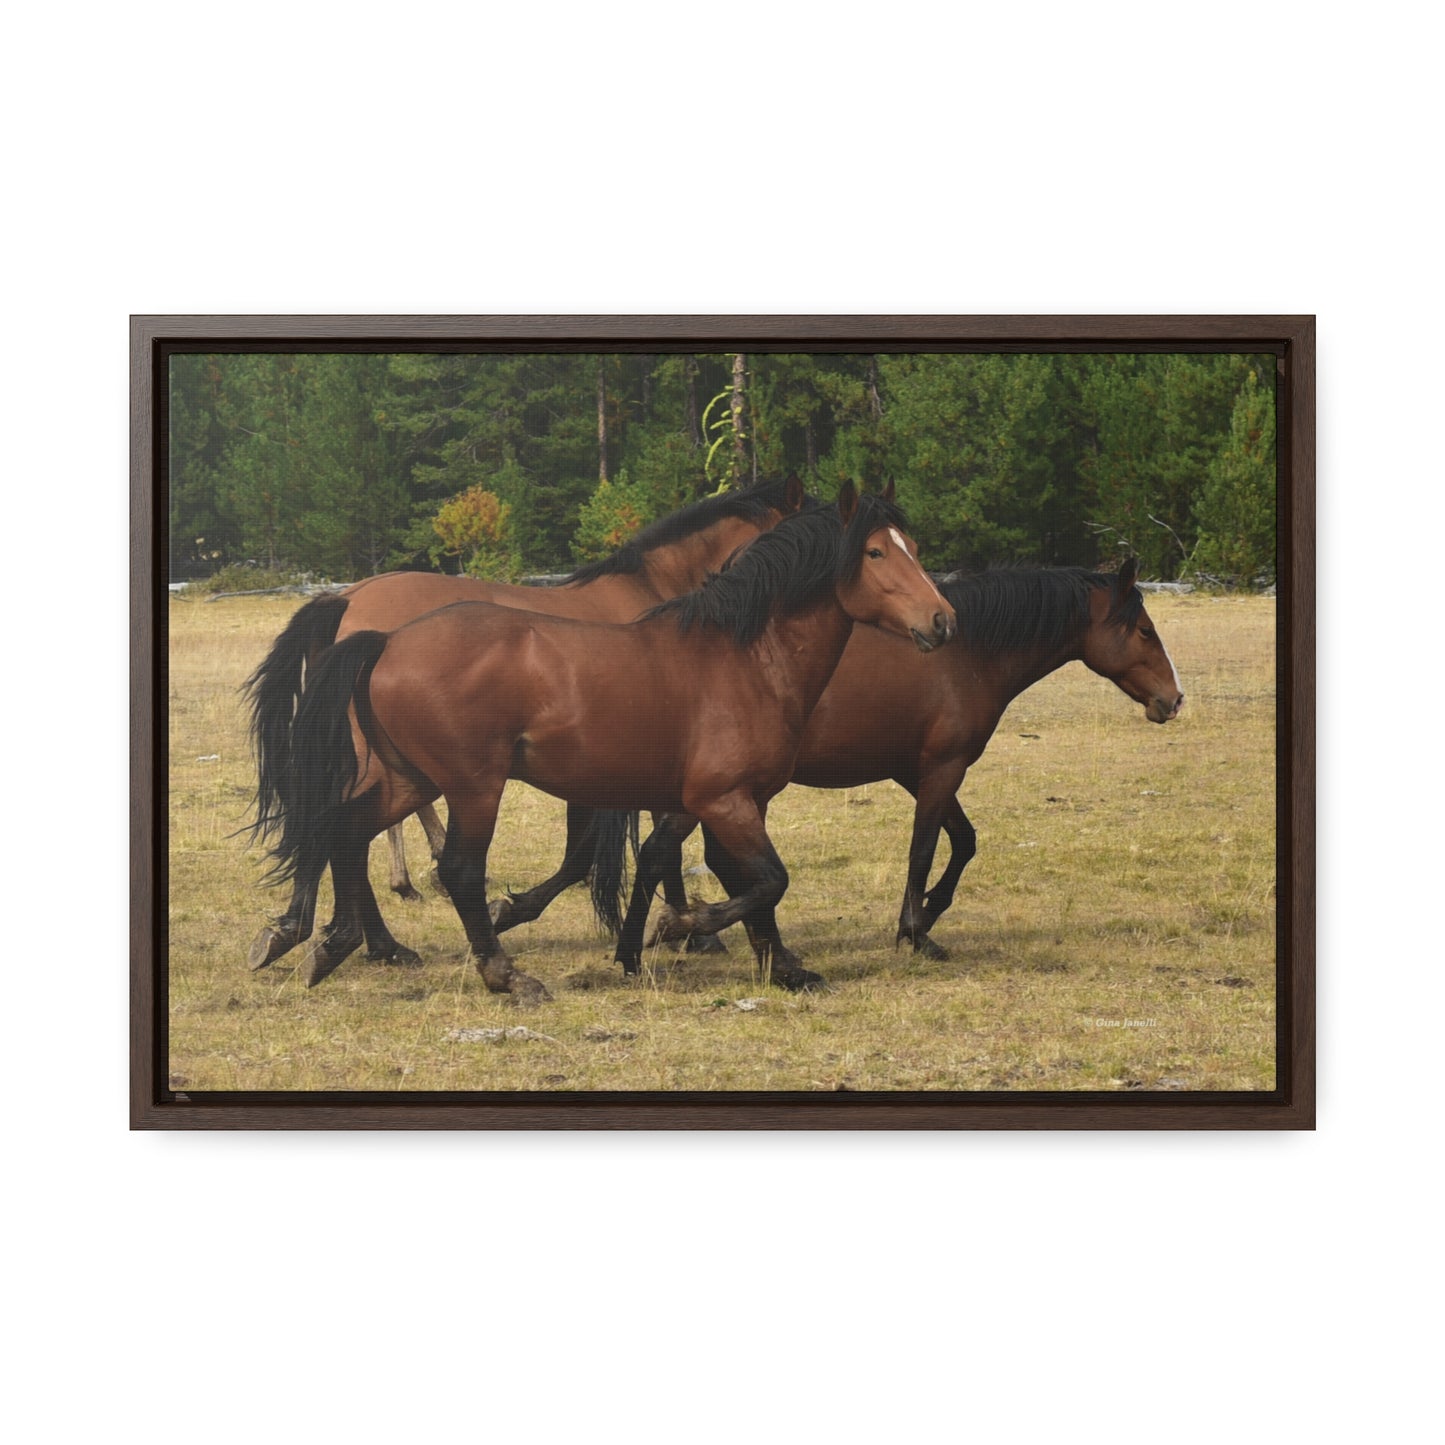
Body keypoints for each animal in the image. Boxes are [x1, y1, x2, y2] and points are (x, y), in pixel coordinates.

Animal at [264, 485, 953, 1005]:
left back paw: (330, 944)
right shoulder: (720, 800)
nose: (942, 619)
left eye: (914, 549)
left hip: (409, 777)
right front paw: (681, 928)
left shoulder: (727, 800)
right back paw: (502, 973)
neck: (744, 655)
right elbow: (759, 878)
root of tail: (381, 635)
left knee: (343, 830)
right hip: (472, 787)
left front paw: (779, 965)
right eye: (873, 552)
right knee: (454, 867)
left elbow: (738, 879)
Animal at [609, 557, 1184, 965]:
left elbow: (963, 841)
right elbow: (925, 849)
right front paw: (915, 931)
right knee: (667, 853)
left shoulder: (917, 772)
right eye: (1145, 631)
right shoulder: (942, 768)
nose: (1174, 699)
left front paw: (925, 916)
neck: (968, 655)